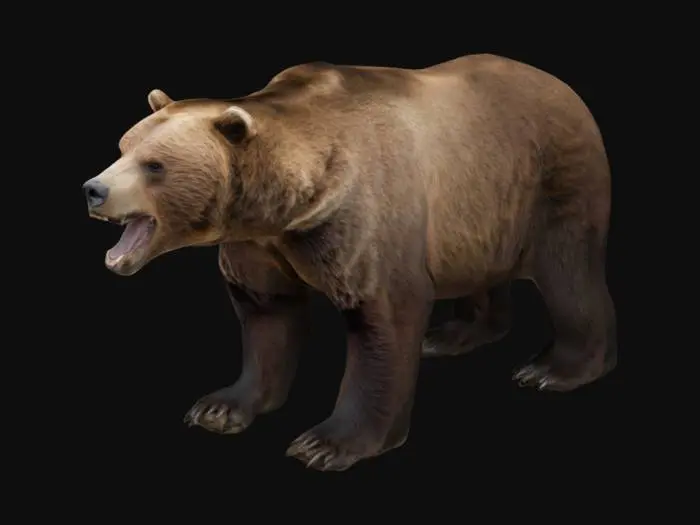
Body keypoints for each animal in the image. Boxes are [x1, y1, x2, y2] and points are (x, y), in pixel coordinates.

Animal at [82, 54, 617, 471]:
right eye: (122, 147)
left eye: (154, 165)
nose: (94, 189)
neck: (288, 204)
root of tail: (562, 86)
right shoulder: (259, 244)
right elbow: (266, 316)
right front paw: (220, 406)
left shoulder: (362, 218)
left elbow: (383, 318)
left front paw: (326, 443)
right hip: (478, 208)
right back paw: (452, 335)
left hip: (550, 181)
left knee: (569, 273)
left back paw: (555, 368)